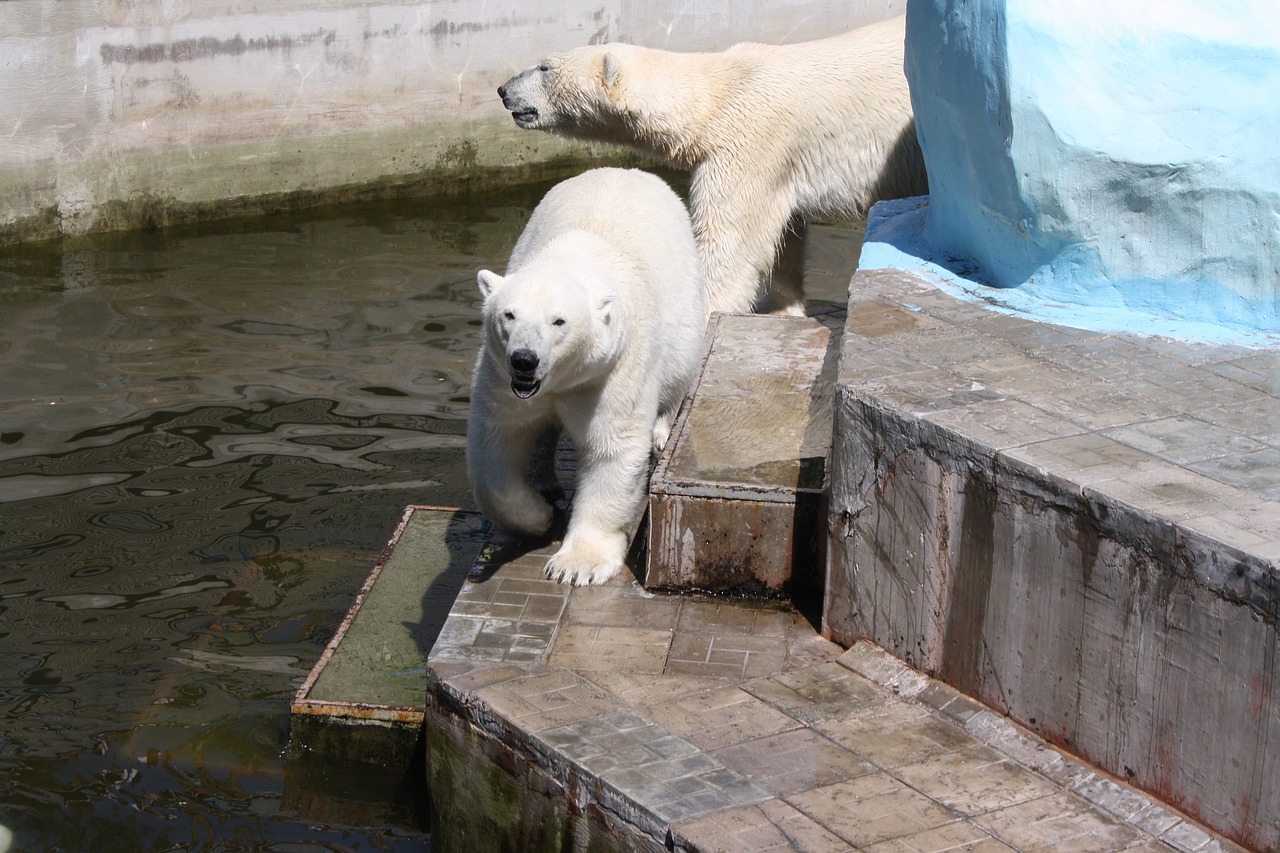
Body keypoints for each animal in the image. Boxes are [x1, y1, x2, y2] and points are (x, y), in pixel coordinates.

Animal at [465, 170, 706, 589]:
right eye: (509, 314)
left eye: (559, 321)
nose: (524, 360)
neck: (579, 254)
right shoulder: (500, 375)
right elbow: (499, 438)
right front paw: (538, 516)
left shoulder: (614, 369)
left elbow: (612, 446)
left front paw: (576, 564)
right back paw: (546, 481)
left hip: (684, 305)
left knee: (679, 367)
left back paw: (661, 431)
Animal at [499, 15, 931, 315]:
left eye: (543, 68)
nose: (504, 90)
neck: (717, 95)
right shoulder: (781, 163)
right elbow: (785, 235)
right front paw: (784, 308)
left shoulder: (749, 141)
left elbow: (732, 243)